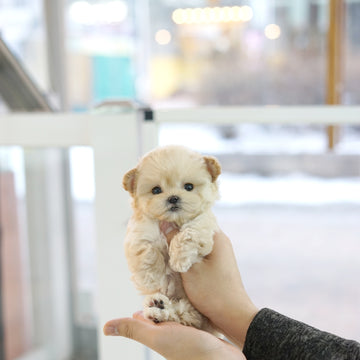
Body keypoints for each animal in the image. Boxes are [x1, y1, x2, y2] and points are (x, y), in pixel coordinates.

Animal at [122, 145, 221, 330]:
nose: (173, 198)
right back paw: (157, 306)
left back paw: (161, 308)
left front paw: (179, 260)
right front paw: (152, 277)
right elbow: (146, 251)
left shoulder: (204, 224)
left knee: (187, 315)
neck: (173, 221)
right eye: (156, 190)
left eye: (188, 186)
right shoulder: (139, 232)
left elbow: (188, 234)